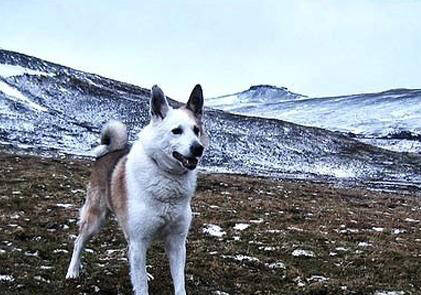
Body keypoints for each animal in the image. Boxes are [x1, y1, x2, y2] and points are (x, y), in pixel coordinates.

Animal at [66, 84, 208, 294]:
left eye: (196, 130)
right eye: (176, 131)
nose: (198, 148)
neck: (167, 177)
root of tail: (107, 153)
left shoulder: (177, 242)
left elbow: (179, 283)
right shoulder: (139, 240)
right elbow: (141, 285)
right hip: (95, 219)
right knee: (78, 242)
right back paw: (73, 271)